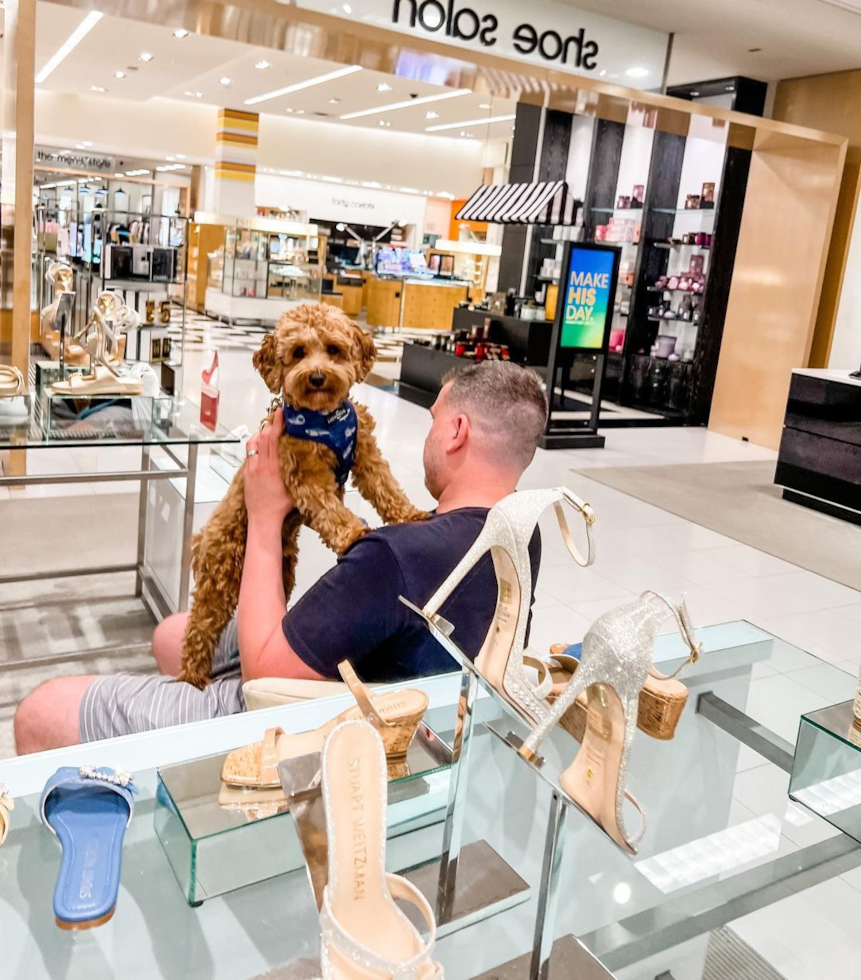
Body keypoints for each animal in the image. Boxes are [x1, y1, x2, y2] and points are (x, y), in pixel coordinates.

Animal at [177, 302, 426, 684]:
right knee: (198, 630)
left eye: (334, 349)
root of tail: (202, 537)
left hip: (282, 569)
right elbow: (329, 508)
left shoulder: (365, 453)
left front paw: (409, 514)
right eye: (298, 353)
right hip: (219, 579)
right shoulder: (304, 474)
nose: (318, 377)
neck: (325, 418)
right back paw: (192, 676)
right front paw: (351, 532)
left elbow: (385, 485)